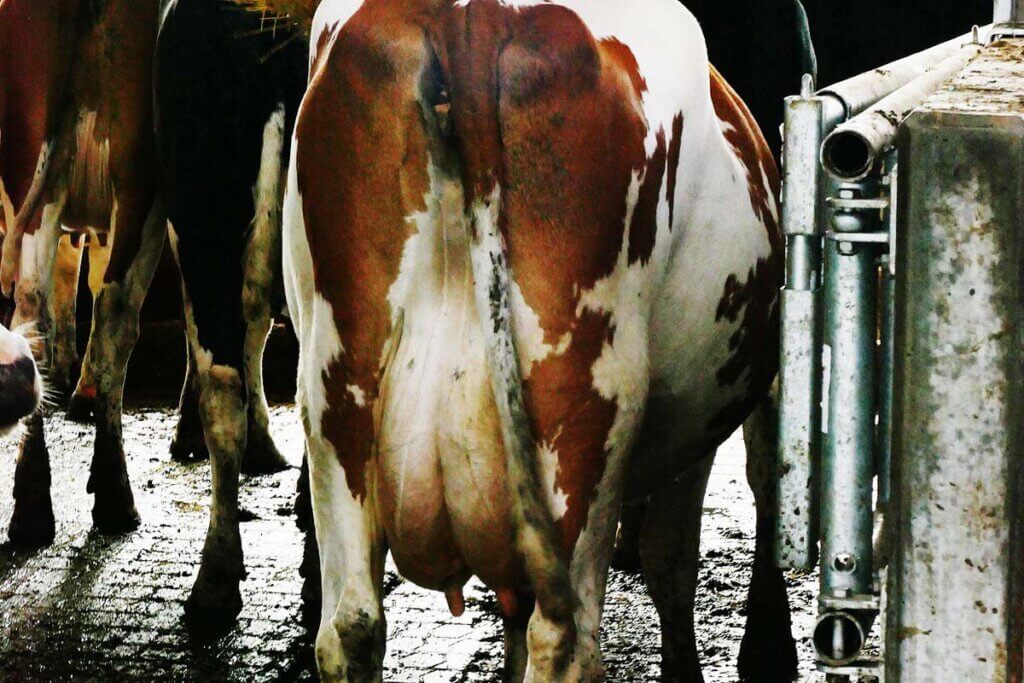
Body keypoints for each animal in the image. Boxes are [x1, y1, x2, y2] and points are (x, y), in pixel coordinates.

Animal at [245, 0, 790, 679]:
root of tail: (468, 17)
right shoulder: (697, 420)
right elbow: (672, 560)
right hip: (583, 415)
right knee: (565, 640)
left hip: (335, 398)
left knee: (351, 626)